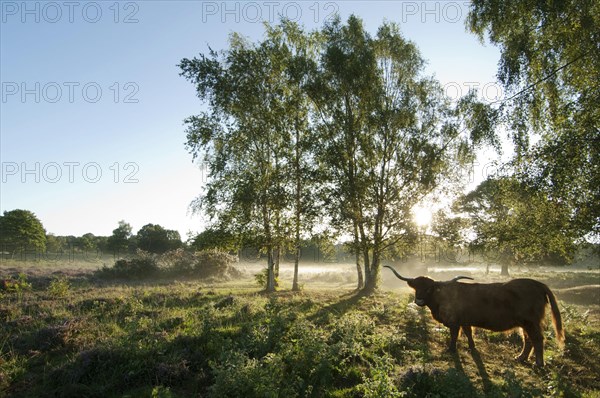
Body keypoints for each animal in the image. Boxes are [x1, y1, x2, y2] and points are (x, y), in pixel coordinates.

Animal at [386, 266, 564, 366]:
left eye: (429, 288)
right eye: (416, 288)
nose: (419, 300)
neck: (440, 300)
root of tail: (538, 284)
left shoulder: (454, 321)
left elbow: (454, 335)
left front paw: (451, 349)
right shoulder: (465, 320)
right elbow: (468, 333)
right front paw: (472, 347)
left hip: (531, 321)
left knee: (537, 339)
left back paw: (539, 363)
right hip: (524, 323)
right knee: (528, 339)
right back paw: (520, 358)